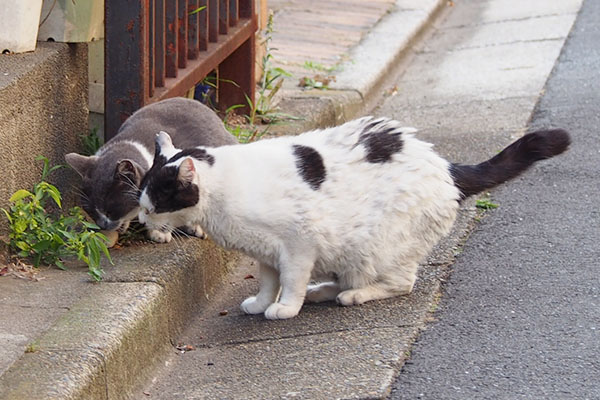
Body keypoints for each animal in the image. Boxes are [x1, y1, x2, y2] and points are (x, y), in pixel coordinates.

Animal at [137, 117, 572, 320]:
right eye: (140, 199)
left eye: (155, 203)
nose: (141, 220)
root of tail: (446, 167)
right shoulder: (266, 253)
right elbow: (269, 281)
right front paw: (262, 303)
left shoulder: (298, 244)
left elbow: (290, 280)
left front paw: (285, 307)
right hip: (347, 253)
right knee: (347, 277)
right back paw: (324, 291)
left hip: (379, 248)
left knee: (400, 283)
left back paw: (352, 295)